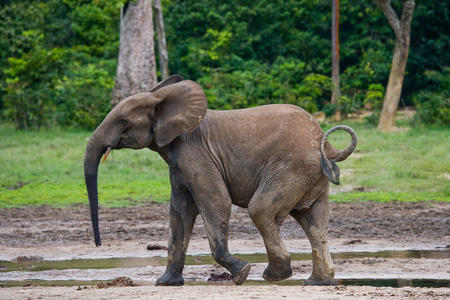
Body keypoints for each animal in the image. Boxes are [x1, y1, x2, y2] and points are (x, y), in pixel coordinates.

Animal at [83, 74, 358, 286]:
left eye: (123, 121)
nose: (98, 244)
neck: (163, 99)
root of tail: (325, 142)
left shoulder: (196, 157)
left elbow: (216, 203)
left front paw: (242, 274)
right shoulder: (180, 165)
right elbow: (179, 213)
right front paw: (166, 283)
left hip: (292, 168)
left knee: (261, 210)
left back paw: (275, 276)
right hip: (310, 174)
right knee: (315, 222)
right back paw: (317, 282)